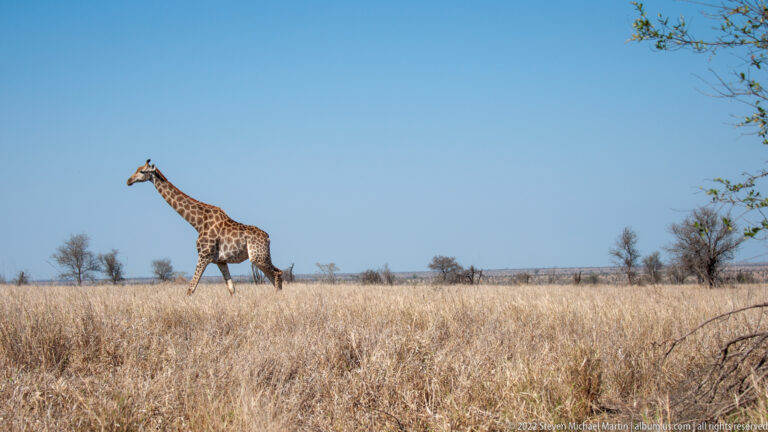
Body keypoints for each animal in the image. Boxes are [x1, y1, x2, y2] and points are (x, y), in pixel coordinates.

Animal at [127, 159, 282, 295]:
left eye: (142, 171)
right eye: (137, 169)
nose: (129, 181)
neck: (198, 222)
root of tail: (268, 237)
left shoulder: (203, 255)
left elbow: (191, 288)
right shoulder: (220, 261)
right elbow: (231, 289)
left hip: (258, 257)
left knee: (277, 274)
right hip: (261, 257)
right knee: (276, 275)